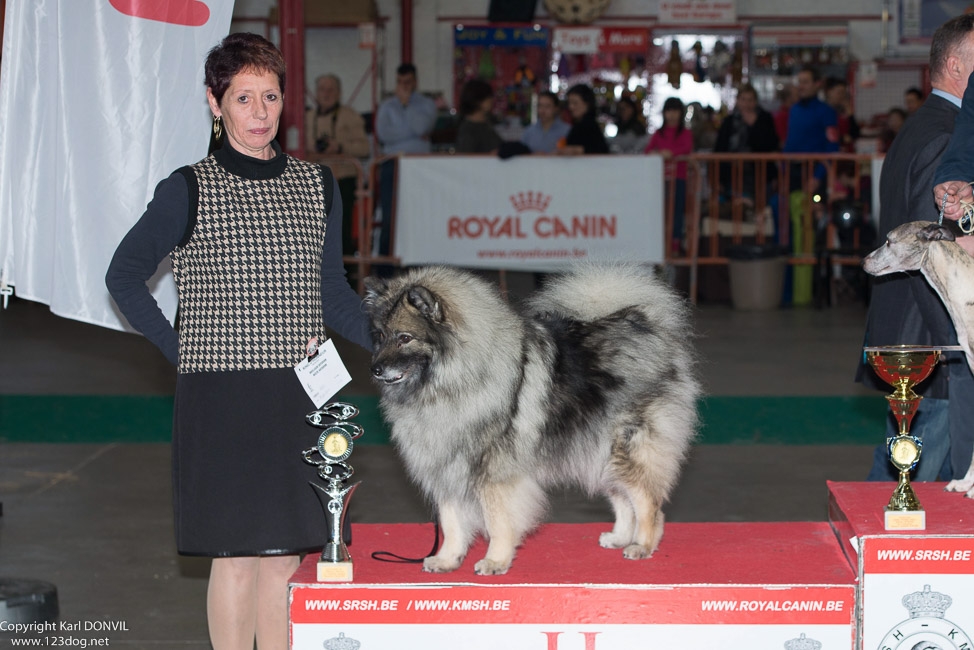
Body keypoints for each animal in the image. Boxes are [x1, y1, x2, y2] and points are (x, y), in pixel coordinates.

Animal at [362, 264, 696, 572]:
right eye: (380, 336)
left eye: (405, 337)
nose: (375, 369)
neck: (452, 382)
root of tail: (643, 325)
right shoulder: (448, 467)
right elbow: (451, 521)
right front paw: (447, 559)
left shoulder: (494, 473)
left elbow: (497, 521)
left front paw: (495, 561)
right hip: (597, 450)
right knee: (623, 497)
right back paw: (620, 537)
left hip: (627, 449)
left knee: (648, 503)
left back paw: (642, 545)